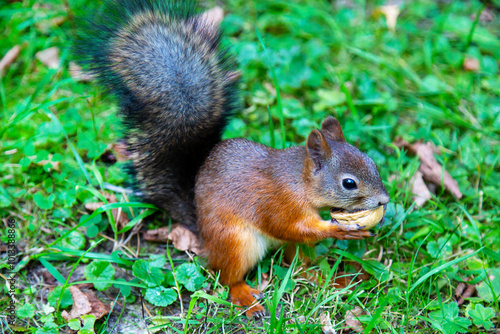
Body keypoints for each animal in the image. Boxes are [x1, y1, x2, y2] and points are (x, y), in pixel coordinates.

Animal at [75, 0, 390, 318]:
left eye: (372, 163)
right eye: (349, 183)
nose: (384, 201)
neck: (299, 183)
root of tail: (202, 232)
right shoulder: (277, 204)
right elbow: (290, 227)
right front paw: (339, 230)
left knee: (297, 262)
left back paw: (329, 277)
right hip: (235, 242)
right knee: (227, 275)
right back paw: (245, 297)